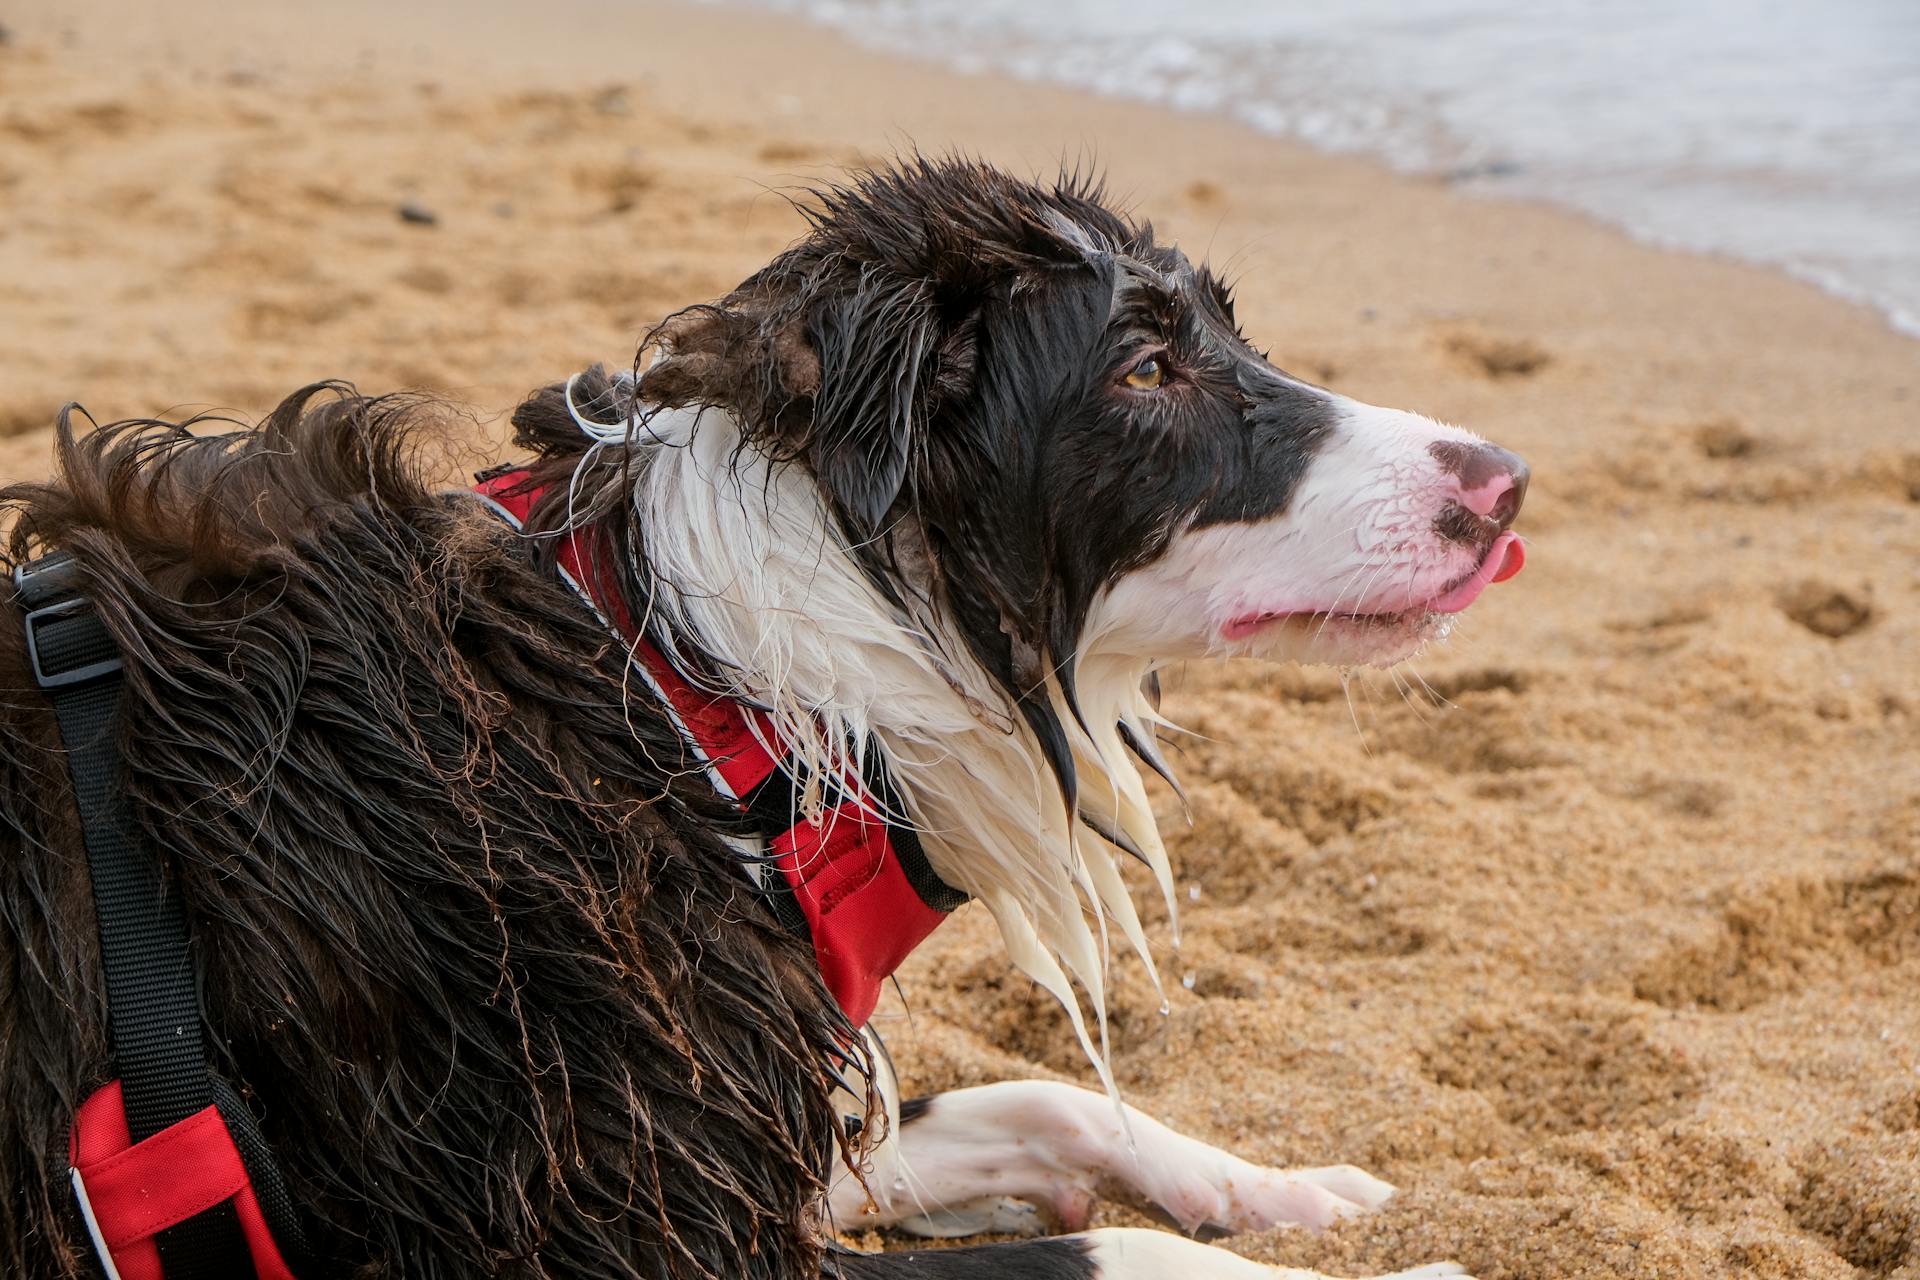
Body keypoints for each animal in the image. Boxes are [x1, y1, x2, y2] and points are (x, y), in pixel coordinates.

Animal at [0, 160, 1528, 1280]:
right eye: (1144, 371)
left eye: (1228, 331)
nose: (1507, 481)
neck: (704, 697)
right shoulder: (633, 1226)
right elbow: (1117, 1253)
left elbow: (1044, 1101)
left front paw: (1285, 1186)